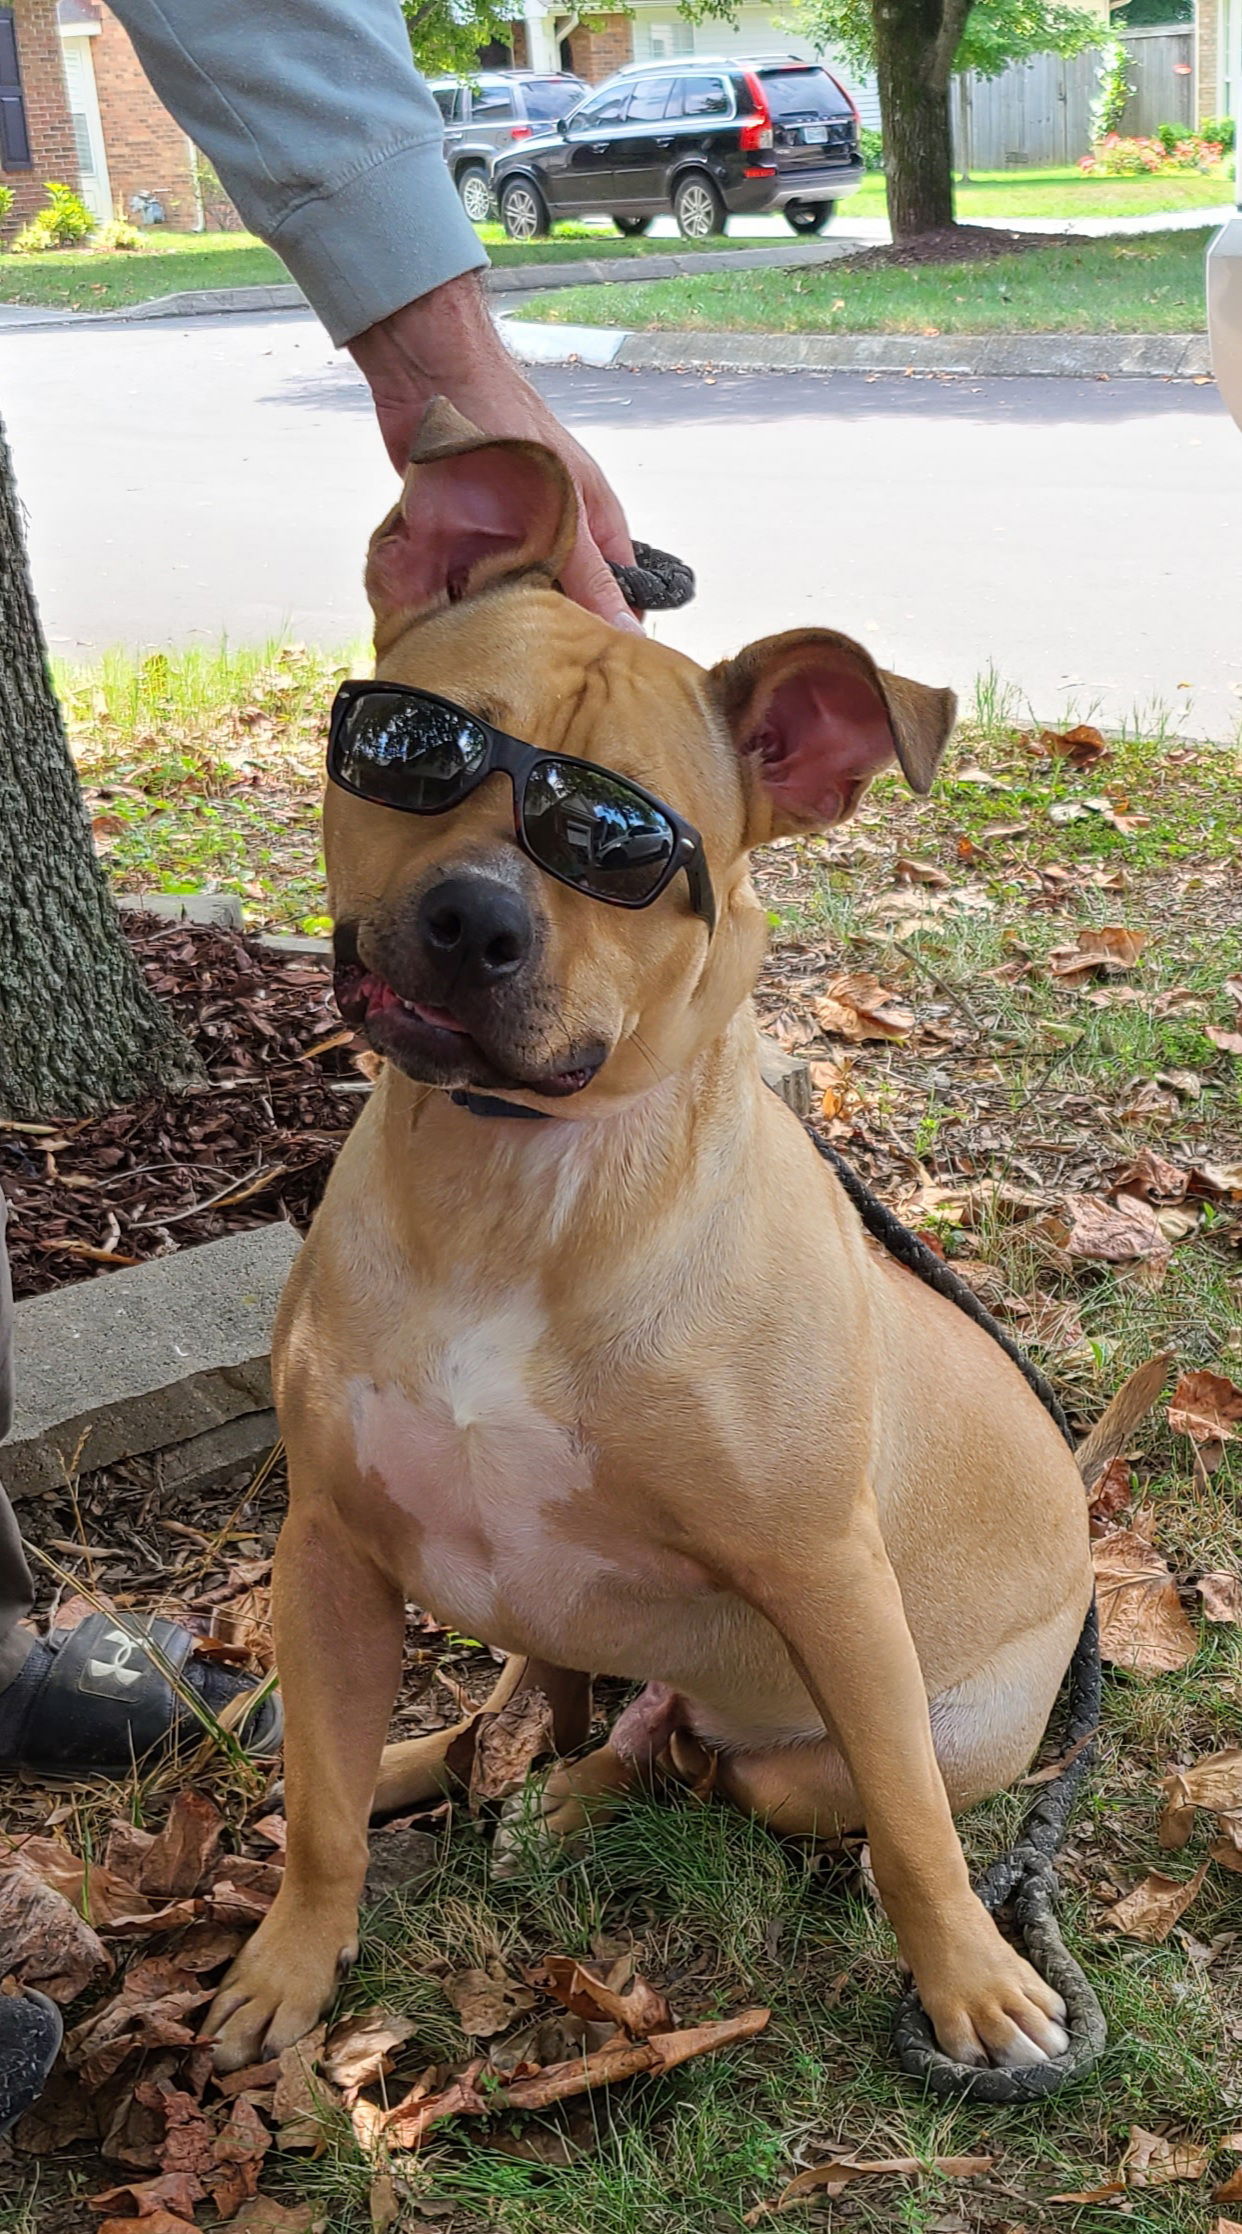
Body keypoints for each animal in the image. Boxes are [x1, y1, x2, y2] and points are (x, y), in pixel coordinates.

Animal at [208, 402, 1090, 2073]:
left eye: (624, 846)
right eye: (413, 747)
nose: (474, 918)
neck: (517, 1174)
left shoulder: (827, 1578)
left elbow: (911, 1835)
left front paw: (971, 1979)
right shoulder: (330, 1546)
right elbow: (322, 1811)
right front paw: (291, 1960)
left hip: (821, 1742)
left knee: (705, 1755)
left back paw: (569, 1794)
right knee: (539, 1709)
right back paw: (452, 1756)